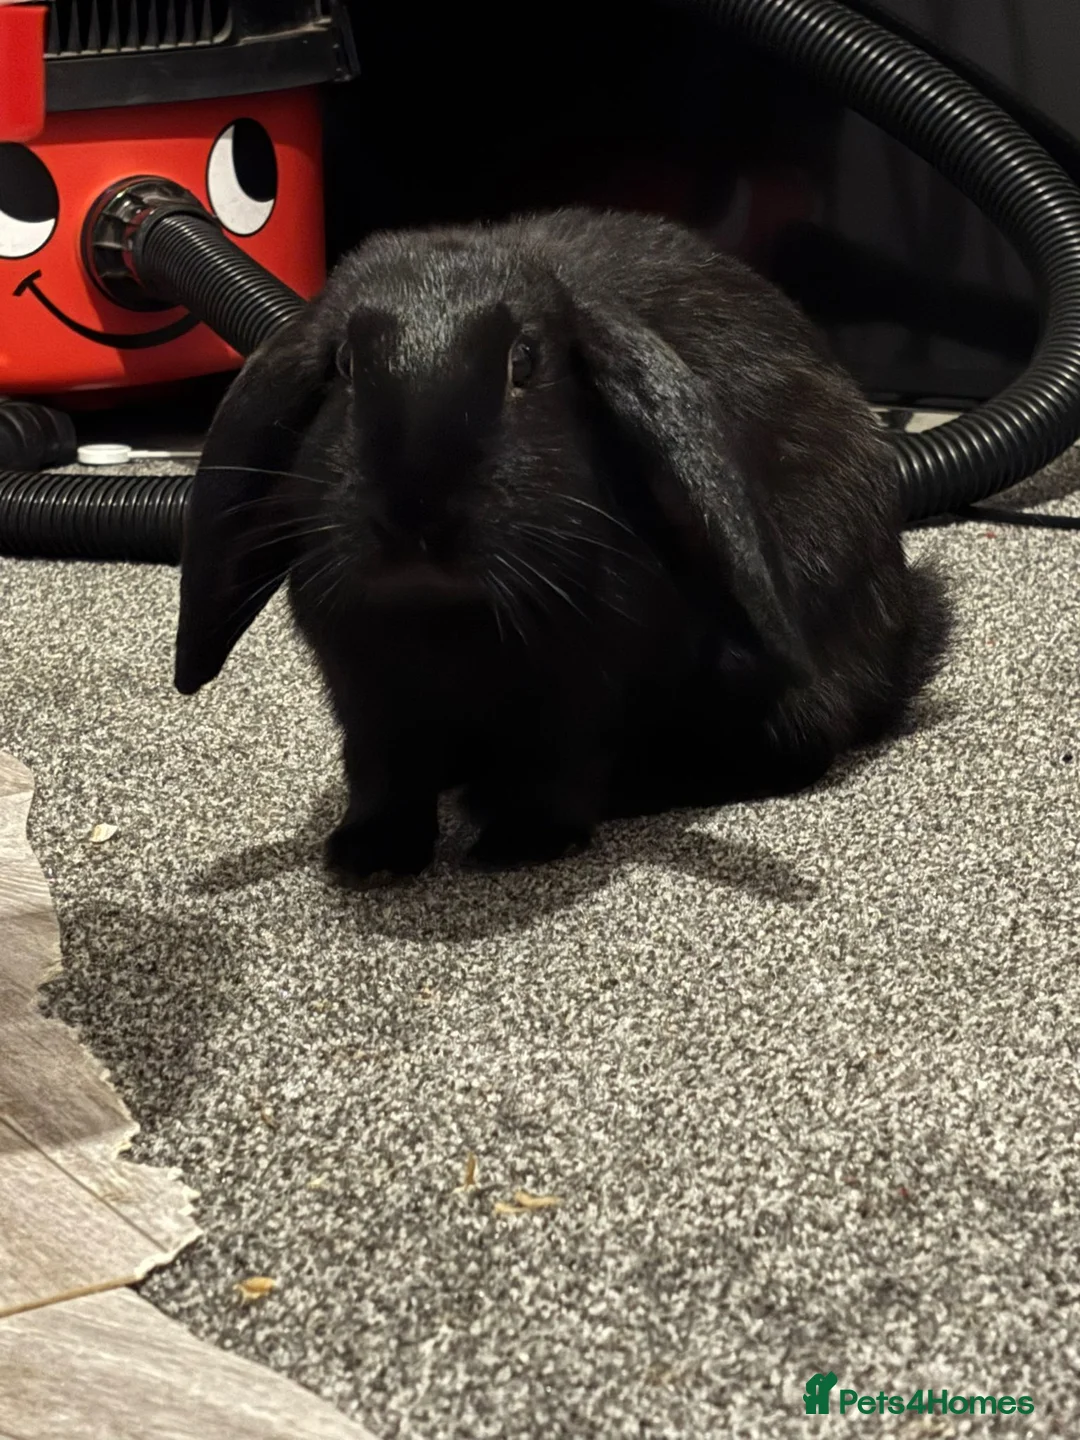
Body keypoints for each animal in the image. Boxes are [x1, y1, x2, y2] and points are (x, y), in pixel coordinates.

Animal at [174, 207, 951, 879]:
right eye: (341, 365)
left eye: (525, 361)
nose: (416, 517)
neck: (442, 615)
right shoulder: (368, 702)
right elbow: (383, 774)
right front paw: (369, 856)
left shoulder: (583, 693)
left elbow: (560, 766)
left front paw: (521, 844)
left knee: (796, 746)